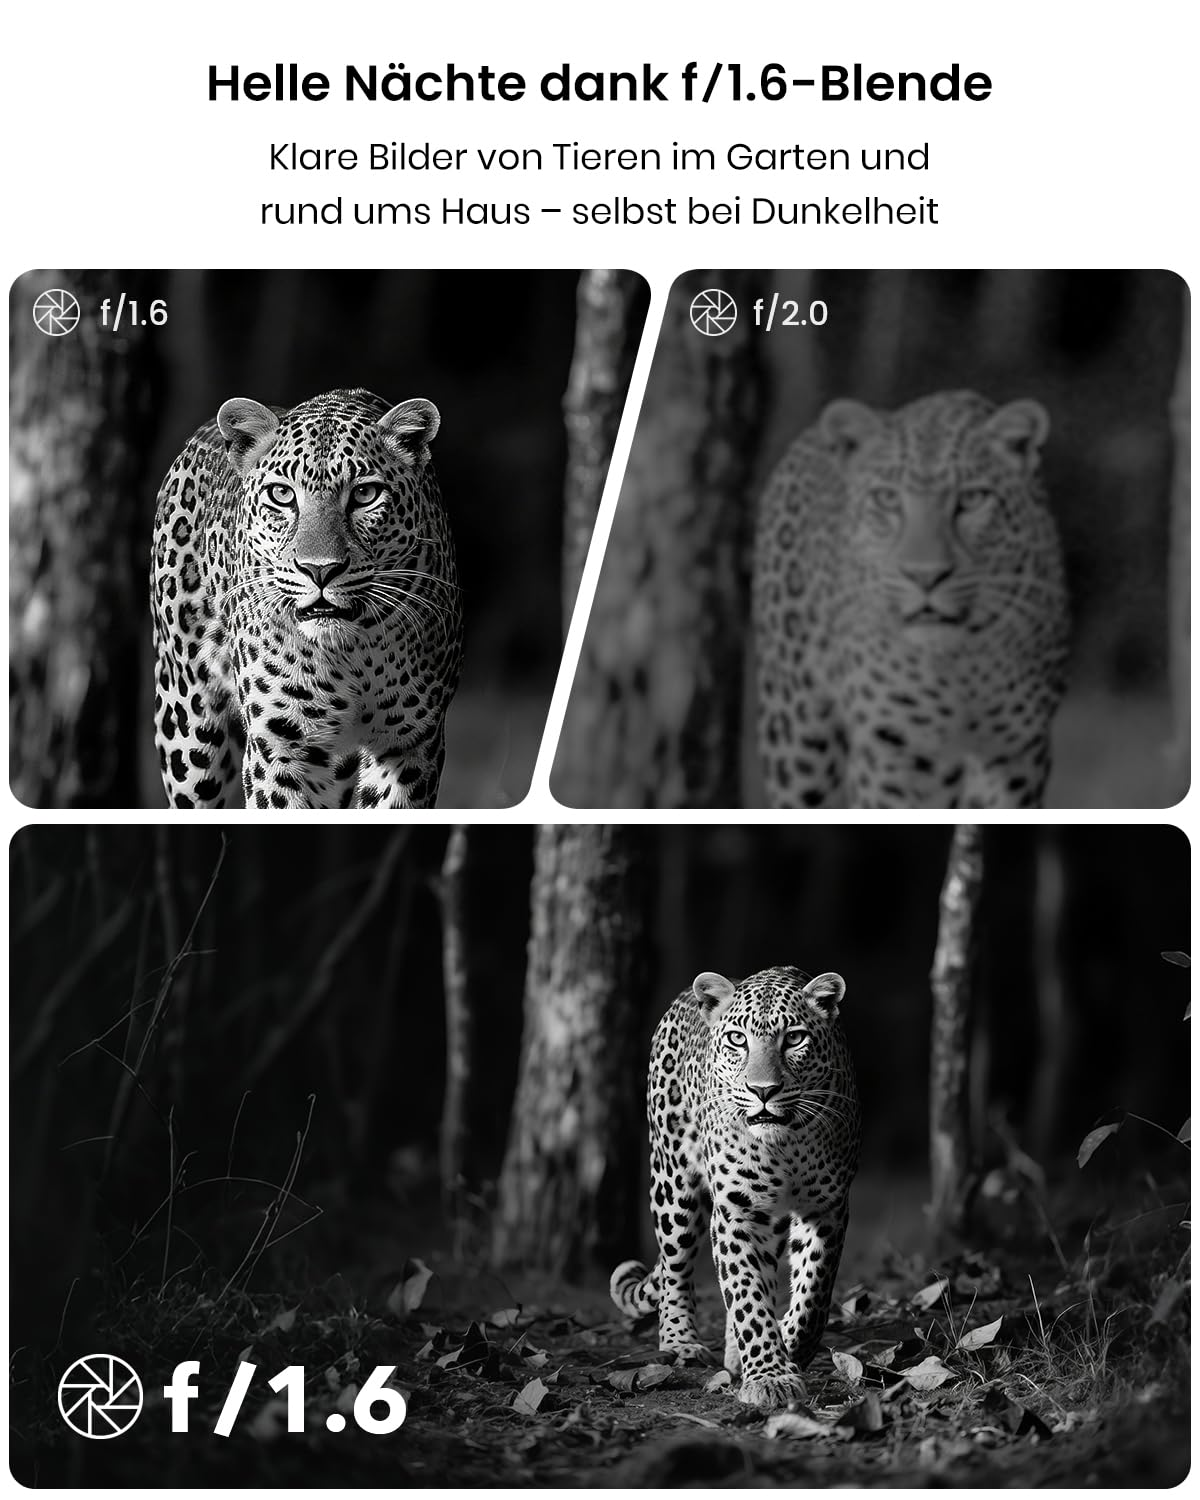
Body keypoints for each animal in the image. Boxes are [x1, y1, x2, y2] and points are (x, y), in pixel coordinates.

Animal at [151, 388, 462, 809]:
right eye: (282, 494)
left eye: (365, 493)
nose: (319, 570)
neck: (353, 652)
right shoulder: (282, 746)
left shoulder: (411, 745)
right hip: (189, 731)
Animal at [610, 965, 861, 1413]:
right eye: (737, 1039)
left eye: (794, 1038)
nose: (763, 1090)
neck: (786, 1143)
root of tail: (684, 998)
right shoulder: (736, 1210)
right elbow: (745, 1294)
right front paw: (770, 1376)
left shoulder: (827, 1208)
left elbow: (813, 1295)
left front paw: (789, 1344)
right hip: (672, 1181)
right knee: (675, 1267)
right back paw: (680, 1344)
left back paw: (732, 1353)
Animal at [752, 390, 1069, 809]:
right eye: (887, 499)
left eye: (973, 499)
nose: (925, 575)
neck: (960, 667)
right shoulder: (894, 752)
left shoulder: (1017, 753)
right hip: (798, 735)